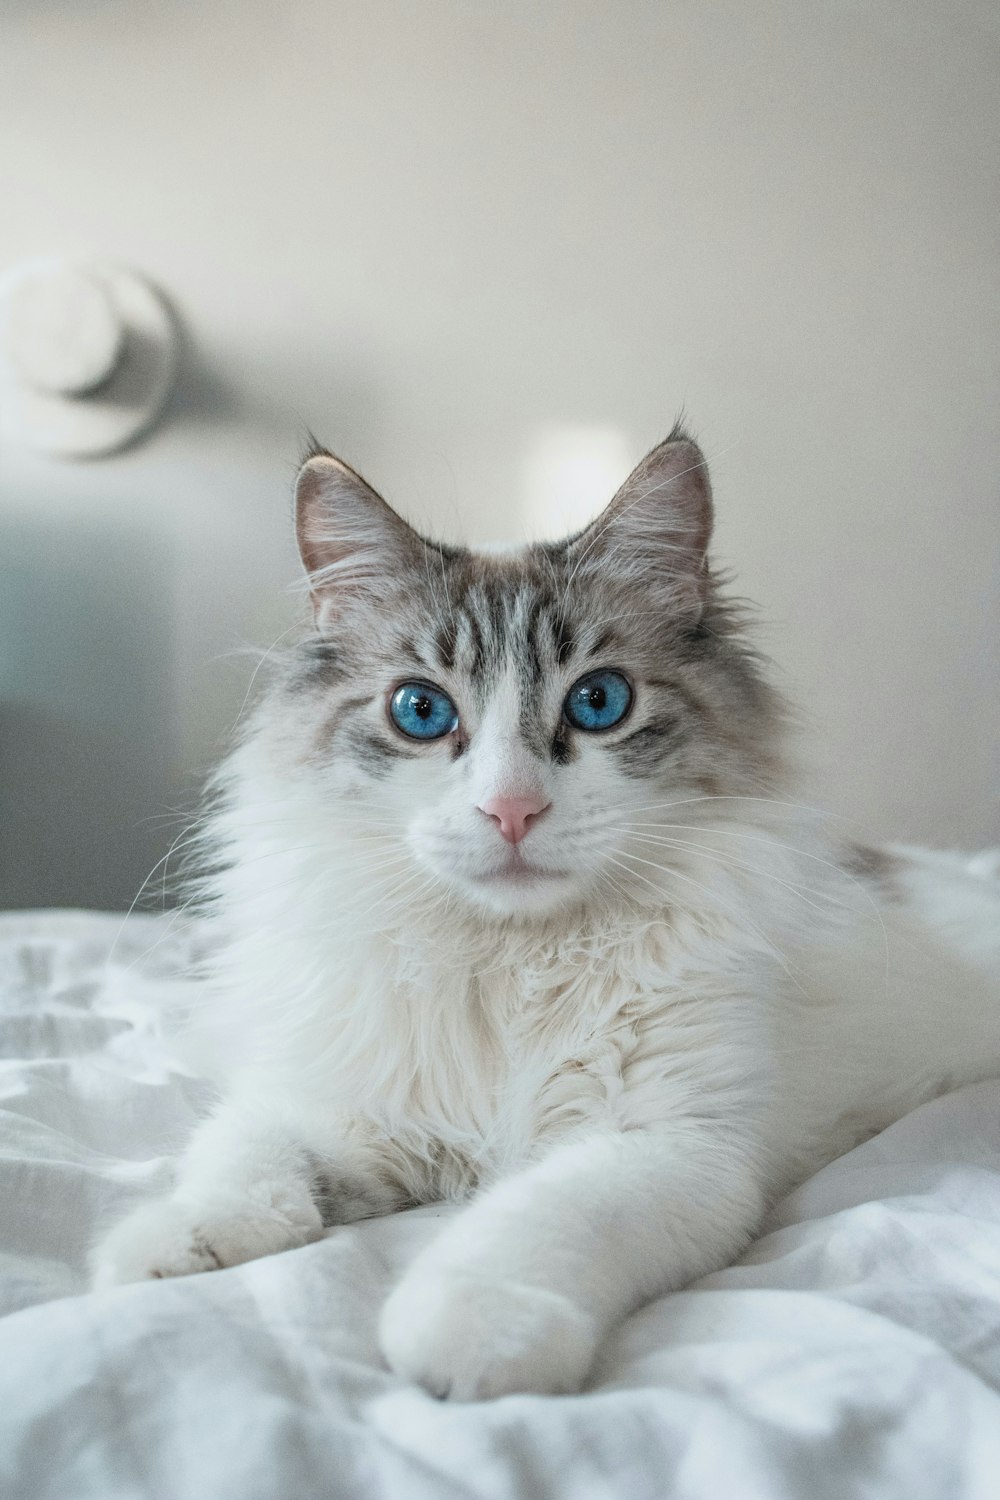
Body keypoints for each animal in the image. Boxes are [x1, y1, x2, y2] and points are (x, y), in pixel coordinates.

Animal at [91, 429, 1000, 1398]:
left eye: (599, 702)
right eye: (421, 711)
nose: (511, 811)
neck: (511, 961)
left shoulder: (669, 1143)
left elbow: (527, 1224)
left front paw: (468, 1336)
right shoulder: (341, 1105)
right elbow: (242, 1159)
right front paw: (167, 1247)